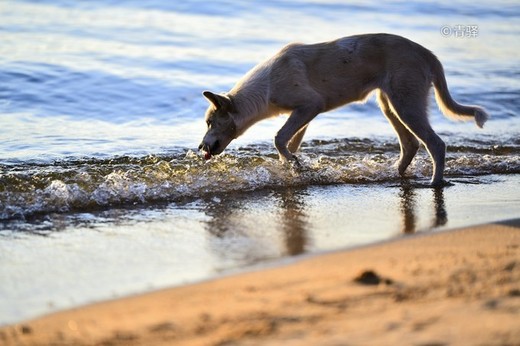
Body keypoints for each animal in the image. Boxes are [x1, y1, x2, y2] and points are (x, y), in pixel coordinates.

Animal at [198, 34, 488, 187]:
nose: (201, 148)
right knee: (410, 144)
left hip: (406, 103)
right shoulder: (303, 114)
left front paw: (295, 165)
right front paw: (293, 168)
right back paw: (398, 175)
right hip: (390, 103)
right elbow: (288, 143)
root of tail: (428, 54)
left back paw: (435, 183)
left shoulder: (309, 105)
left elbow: (279, 139)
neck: (266, 86)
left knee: (435, 144)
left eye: (210, 122)